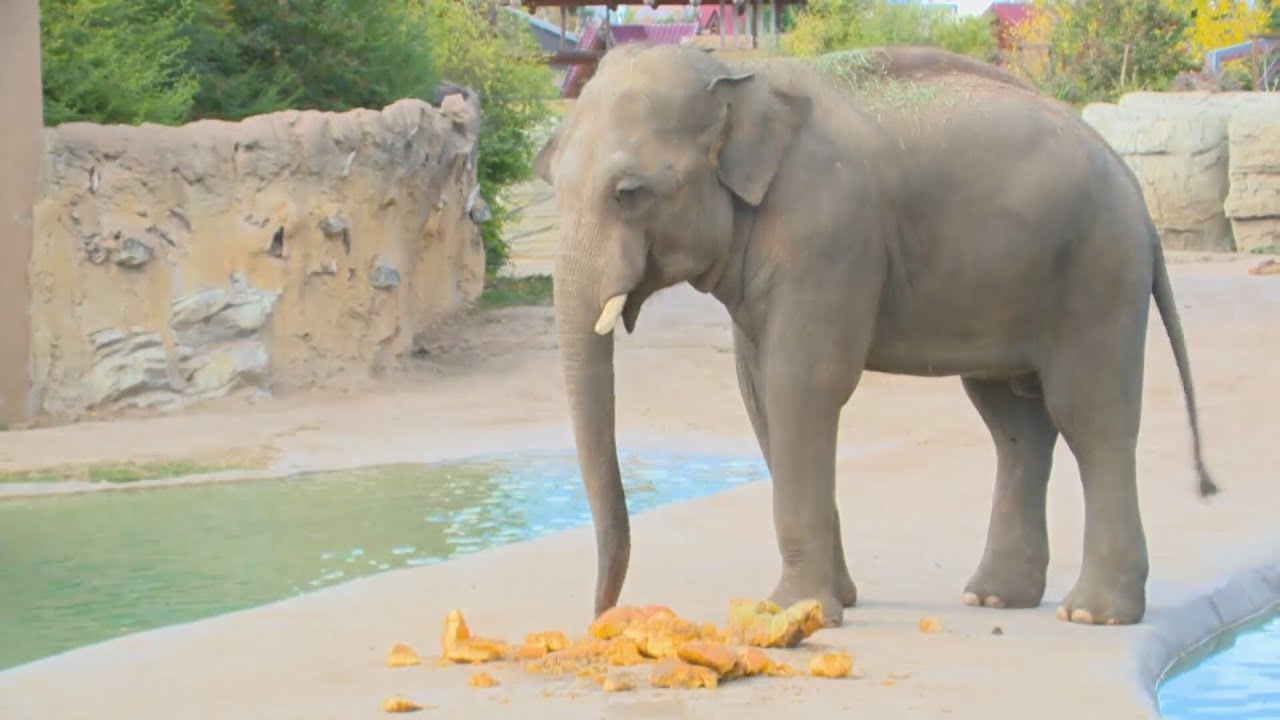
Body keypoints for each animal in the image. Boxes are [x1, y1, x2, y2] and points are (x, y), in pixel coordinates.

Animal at [532, 43, 1220, 629]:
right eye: (554, 188)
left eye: (629, 193)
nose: (601, 615)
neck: (736, 73)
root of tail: (1137, 195)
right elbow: (760, 395)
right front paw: (832, 601)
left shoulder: (829, 232)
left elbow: (803, 386)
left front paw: (794, 610)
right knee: (1015, 424)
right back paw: (994, 598)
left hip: (1098, 271)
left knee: (1091, 419)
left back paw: (1090, 615)